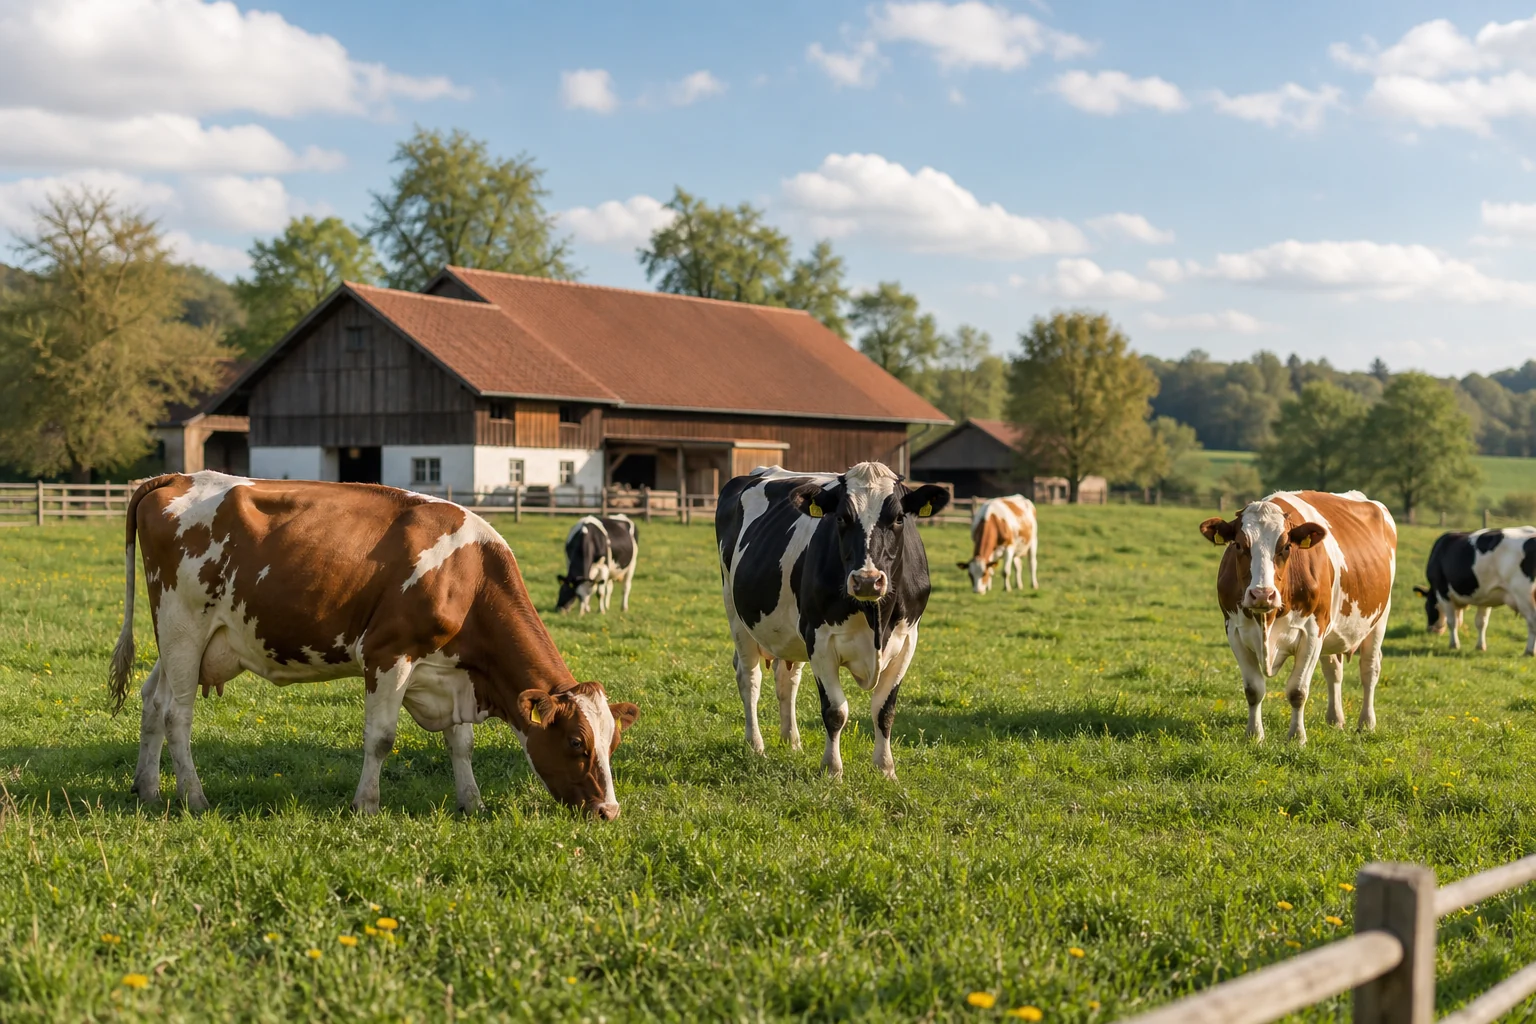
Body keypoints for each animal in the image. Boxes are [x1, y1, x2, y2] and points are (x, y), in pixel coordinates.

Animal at [107, 472, 640, 818]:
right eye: (576, 742)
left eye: (613, 741)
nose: (609, 811)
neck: (469, 575)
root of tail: (177, 477)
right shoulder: (388, 656)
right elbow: (381, 739)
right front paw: (366, 805)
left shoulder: (450, 673)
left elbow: (461, 743)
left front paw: (471, 801)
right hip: (183, 625)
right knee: (177, 715)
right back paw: (194, 799)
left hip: (185, 641)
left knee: (152, 701)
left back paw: (148, 789)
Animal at [714, 462, 950, 779]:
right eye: (841, 517)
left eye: (899, 518)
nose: (867, 580)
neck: (875, 618)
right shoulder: (820, 640)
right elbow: (835, 710)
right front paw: (832, 769)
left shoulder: (907, 640)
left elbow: (884, 710)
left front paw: (886, 769)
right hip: (737, 614)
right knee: (749, 678)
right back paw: (756, 744)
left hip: (791, 634)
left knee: (787, 680)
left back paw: (792, 741)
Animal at [1198, 490, 1396, 744]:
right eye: (1240, 545)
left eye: (1285, 547)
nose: (1262, 594)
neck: (1267, 621)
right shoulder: (1234, 631)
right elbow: (1254, 689)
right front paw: (1254, 735)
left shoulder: (1312, 633)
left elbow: (1297, 691)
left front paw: (1297, 737)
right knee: (1334, 671)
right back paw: (1335, 719)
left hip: (1379, 619)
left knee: (1369, 669)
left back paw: (1366, 723)